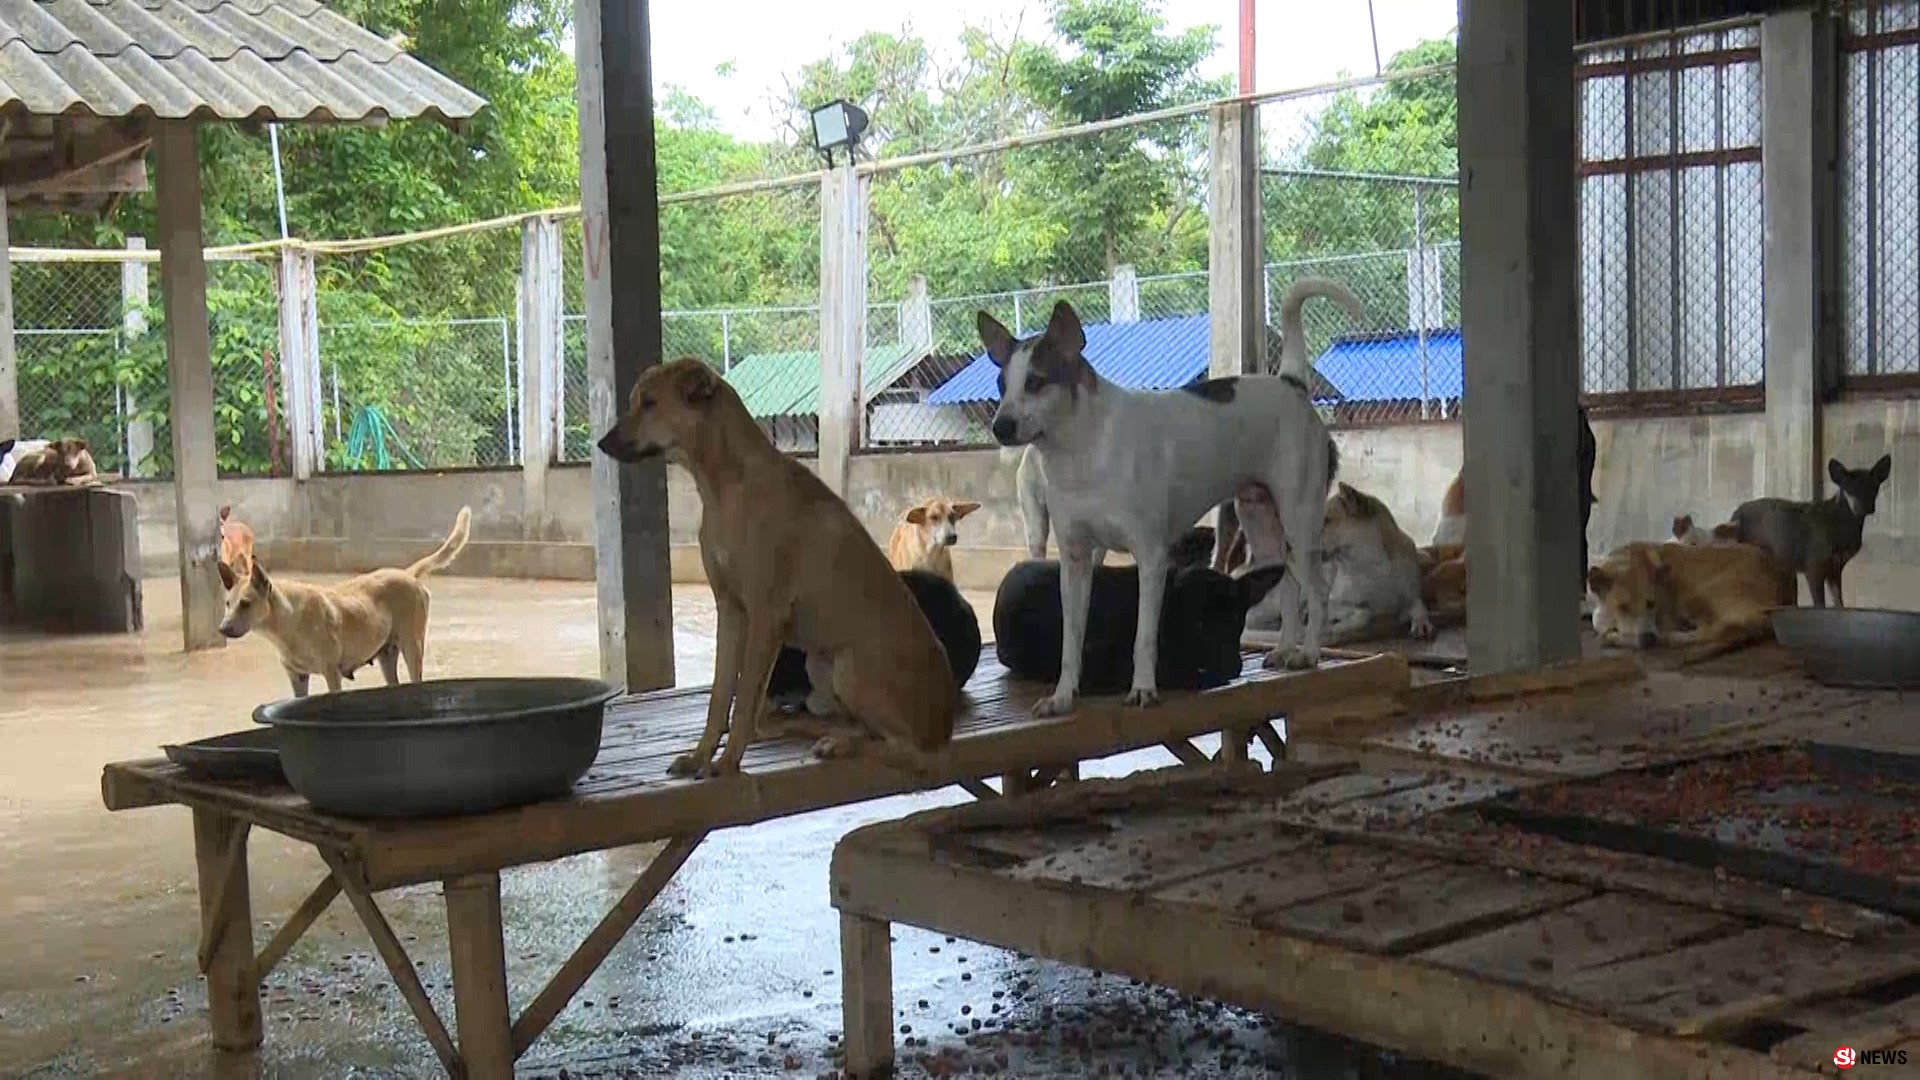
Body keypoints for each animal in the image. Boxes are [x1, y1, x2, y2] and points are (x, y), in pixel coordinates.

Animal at [595, 359, 956, 772]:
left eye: (650, 403)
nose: (602, 444)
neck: (725, 486)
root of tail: (945, 725)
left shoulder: (764, 617)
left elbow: (743, 703)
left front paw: (726, 765)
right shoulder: (731, 612)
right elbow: (720, 697)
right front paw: (701, 756)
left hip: (850, 670)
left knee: (906, 749)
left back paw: (837, 745)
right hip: (821, 665)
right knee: (863, 728)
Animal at [1582, 538, 1789, 645]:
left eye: (1651, 604)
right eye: (1623, 607)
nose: (1649, 639)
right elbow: (1598, 619)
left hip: (1700, 595)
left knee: (1711, 631)